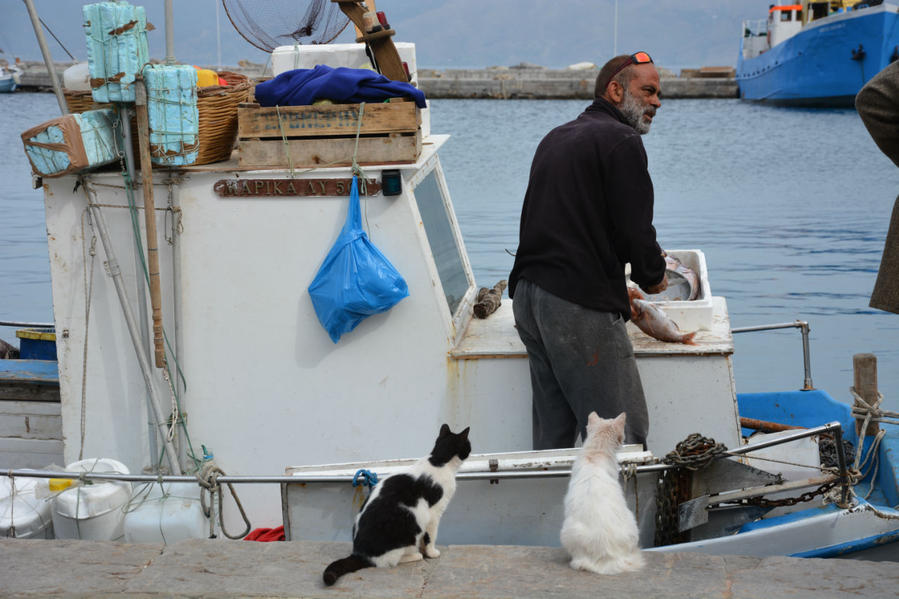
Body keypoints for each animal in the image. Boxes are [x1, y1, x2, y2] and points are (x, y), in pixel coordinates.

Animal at [322, 424, 472, 588]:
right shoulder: (433, 514)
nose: (471, 450)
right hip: (410, 527)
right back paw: (415, 555)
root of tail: (360, 554)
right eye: (468, 445)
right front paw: (431, 553)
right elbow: (431, 536)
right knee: (389, 561)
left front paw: (425, 550)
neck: (440, 461)